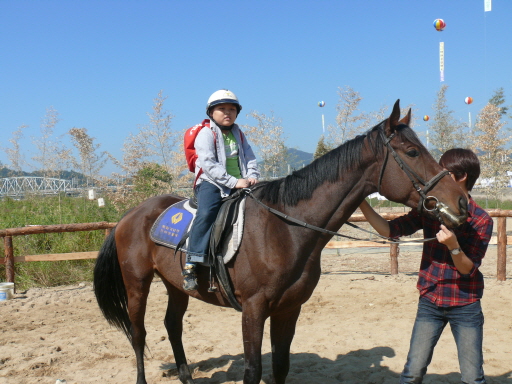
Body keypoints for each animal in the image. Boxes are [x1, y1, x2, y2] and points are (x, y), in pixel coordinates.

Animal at [92, 100, 468, 384]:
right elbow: (253, 370)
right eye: (412, 152)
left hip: (175, 285)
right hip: (137, 282)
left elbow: (281, 367)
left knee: (172, 325)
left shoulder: (289, 308)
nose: (462, 201)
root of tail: (130, 215)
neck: (284, 229)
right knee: (138, 334)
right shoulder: (254, 309)